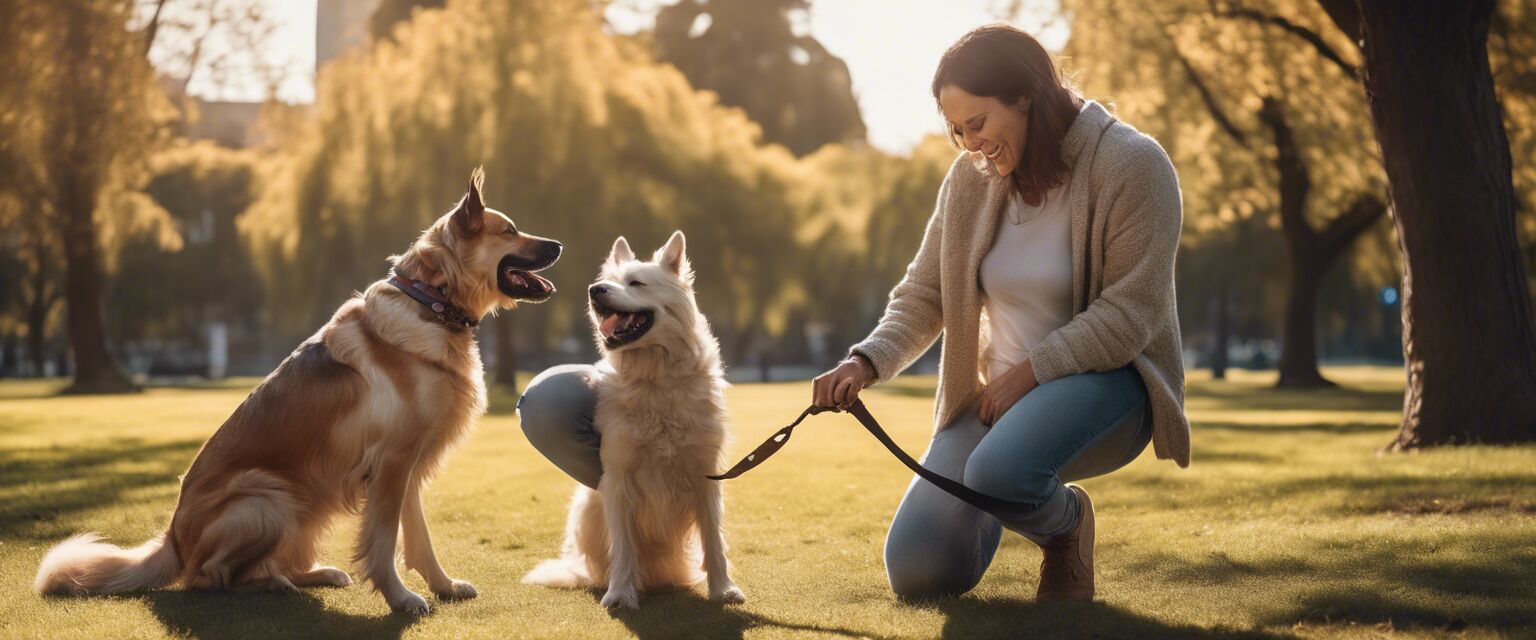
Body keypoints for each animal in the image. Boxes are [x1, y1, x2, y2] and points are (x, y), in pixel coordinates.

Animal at [36, 167, 559, 610]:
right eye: (509, 230)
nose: (558, 244)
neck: (431, 301)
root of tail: (173, 538)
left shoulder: (409, 465)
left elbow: (418, 537)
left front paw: (443, 586)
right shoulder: (391, 464)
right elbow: (383, 541)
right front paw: (400, 599)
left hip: (306, 503)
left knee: (274, 561)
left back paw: (315, 574)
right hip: (268, 500)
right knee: (210, 577)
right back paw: (272, 583)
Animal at [525, 231, 746, 604]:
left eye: (636, 283)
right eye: (607, 280)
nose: (594, 290)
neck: (655, 378)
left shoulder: (706, 476)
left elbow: (714, 543)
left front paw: (723, 589)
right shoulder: (618, 479)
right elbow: (624, 547)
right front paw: (620, 594)